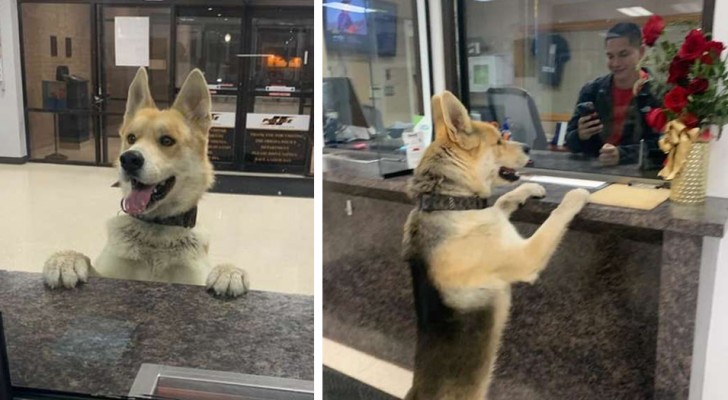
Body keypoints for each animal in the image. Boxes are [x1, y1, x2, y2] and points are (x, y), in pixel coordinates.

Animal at [44, 68, 252, 296]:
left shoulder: (193, 280)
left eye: (167, 141)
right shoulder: (109, 273)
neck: (156, 228)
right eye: (131, 138)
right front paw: (66, 260)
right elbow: (86, 260)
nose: (129, 159)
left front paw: (229, 271)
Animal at [400, 91, 588, 400]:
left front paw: (529, 189)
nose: (528, 146)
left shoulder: (496, 214)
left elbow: (503, 200)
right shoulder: (526, 256)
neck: (449, 202)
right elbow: (554, 219)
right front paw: (574, 196)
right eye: (499, 141)